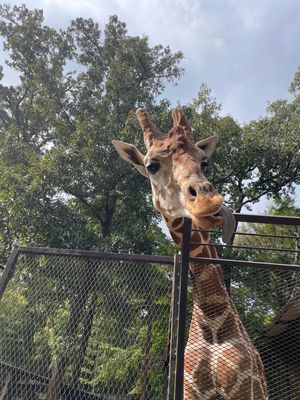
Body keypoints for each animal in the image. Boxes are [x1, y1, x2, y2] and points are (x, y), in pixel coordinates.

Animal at [112, 108, 268, 398]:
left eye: (204, 162)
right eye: (151, 166)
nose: (208, 201)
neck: (212, 319)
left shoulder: (246, 389)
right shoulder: (190, 390)